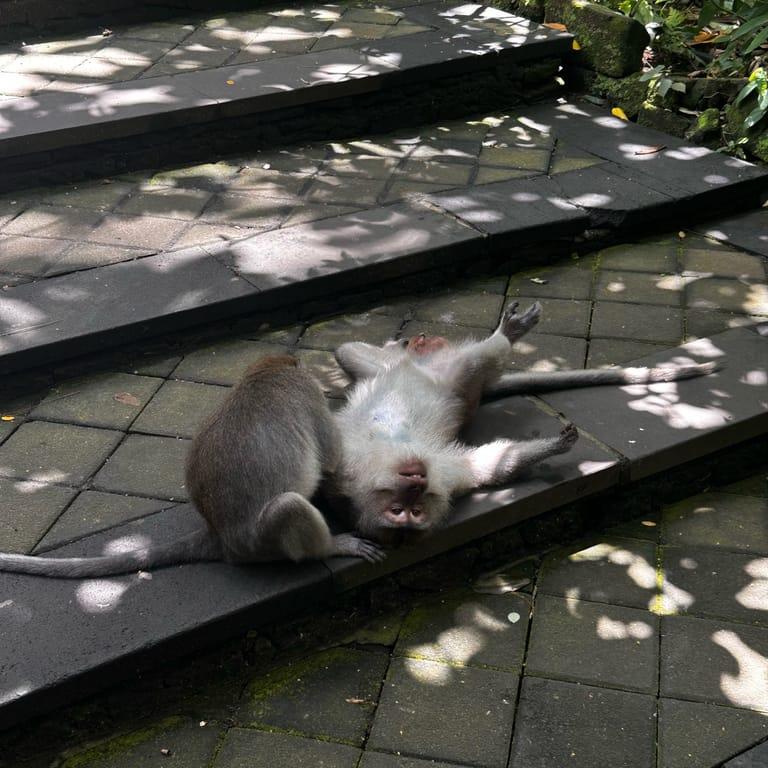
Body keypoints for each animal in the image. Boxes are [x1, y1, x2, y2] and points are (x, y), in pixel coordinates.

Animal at [0, 355, 383, 578]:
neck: (265, 370)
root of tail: (220, 537)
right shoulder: (308, 394)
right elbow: (331, 458)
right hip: (263, 541)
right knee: (289, 507)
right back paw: (331, 546)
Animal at [331, 301, 719, 544]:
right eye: (402, 512)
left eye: (412, 509)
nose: (416, 480)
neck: (387, 457)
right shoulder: (445, 478)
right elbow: (487, 466)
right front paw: (555, 446)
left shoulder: (354, 466)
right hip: (457, 383)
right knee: (480, 358)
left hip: (410, 373)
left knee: (349, 352)